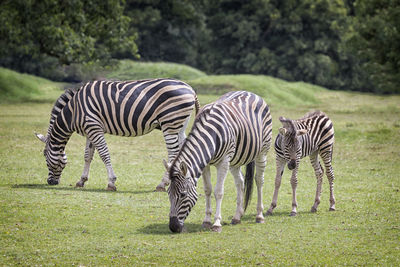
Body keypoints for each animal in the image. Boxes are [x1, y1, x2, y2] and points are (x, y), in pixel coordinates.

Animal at [33, 78, 199, 192]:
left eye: (44, 156)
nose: (50, 182)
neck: (74, 111)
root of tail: (190, 89)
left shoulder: (94, 127)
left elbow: (104, 154)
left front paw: (111, 182)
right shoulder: (89, 131)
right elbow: (88, 156)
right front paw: (81, 181)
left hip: (169, 124)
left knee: (173, 153)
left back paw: (162, 184)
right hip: (179, 125)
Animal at [166, 91, 272, 233]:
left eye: (183, 195)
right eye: (168, 194)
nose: (173, 227)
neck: (210, 134)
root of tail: (251, 93)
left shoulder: (223, 161)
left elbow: (218, 192)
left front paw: (216, 223)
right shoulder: (205, 164)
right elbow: (207, 190)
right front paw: (206, 221)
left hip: (262, 151)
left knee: (259, 180)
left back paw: (259, 215)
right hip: (235, 159)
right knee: (240, 182)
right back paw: (237, 216)